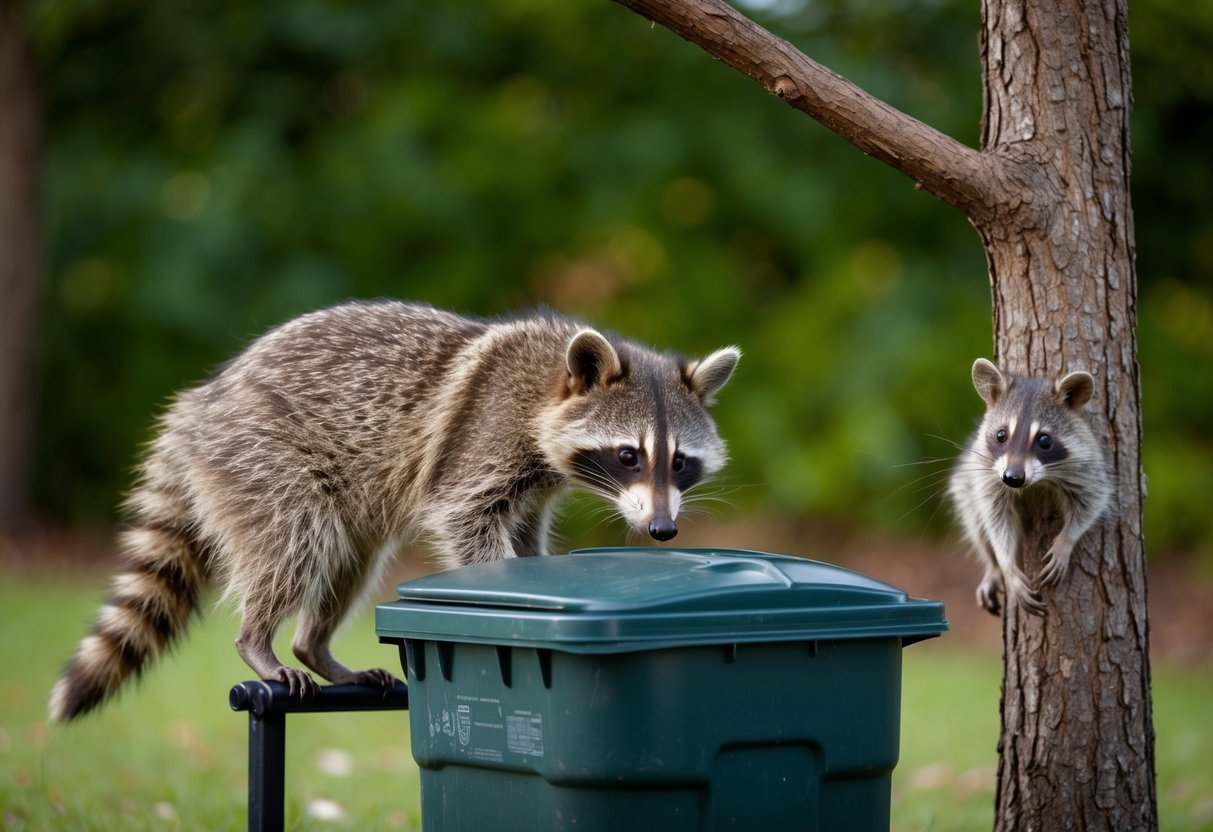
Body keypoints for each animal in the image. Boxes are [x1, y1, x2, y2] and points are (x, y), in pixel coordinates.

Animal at [49, 301, 740, 720]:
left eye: (680, 463)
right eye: (628, 455)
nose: (662, 529)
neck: (552, 385)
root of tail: (200, 404)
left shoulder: (536, 489)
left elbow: (525, 534)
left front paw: (532, 574)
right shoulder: (485, 437)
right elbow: (466, 517)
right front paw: (496, 583)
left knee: (348, 564)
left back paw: (314, 645)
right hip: (261, 452)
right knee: (294, 542)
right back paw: (260, 640)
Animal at [948, 358, 1112, 616]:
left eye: (1044, 440)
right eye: (1001, 435)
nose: (1013, 478)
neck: (1037, 481)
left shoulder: (1086, 464)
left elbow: (1091, 500)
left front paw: (1066, 540)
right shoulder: (987, 474)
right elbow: (995, 517)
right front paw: (1006, 565)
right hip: (966, 482)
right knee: (974, 518)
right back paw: (993, 566)